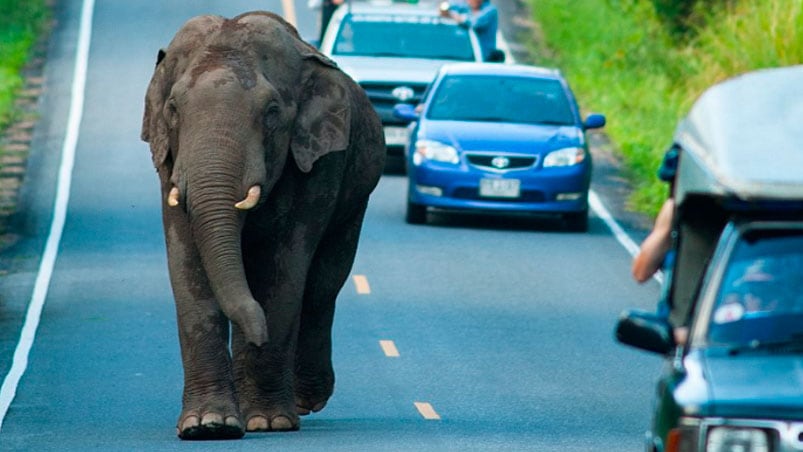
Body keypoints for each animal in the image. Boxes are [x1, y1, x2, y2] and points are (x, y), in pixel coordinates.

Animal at [141, 11, 386, 442]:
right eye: (172, 109)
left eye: (272, 112)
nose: (258, 335)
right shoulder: (168, 163)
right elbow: (188, 268)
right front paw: (208, 426)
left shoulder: (318, 163)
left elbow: (283, 272)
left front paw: (268, 422)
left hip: (356, 196)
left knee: (322, 285)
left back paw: (303, 400)